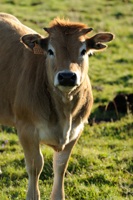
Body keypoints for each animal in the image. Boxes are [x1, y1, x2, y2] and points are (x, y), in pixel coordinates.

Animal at [0, 13, 114, 199]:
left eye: (84, 51)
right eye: (50, 51)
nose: (67, 76)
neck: (64, 112)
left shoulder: (76, 130)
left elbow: (60, 166)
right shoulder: (26, 129)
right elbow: (35, 166)